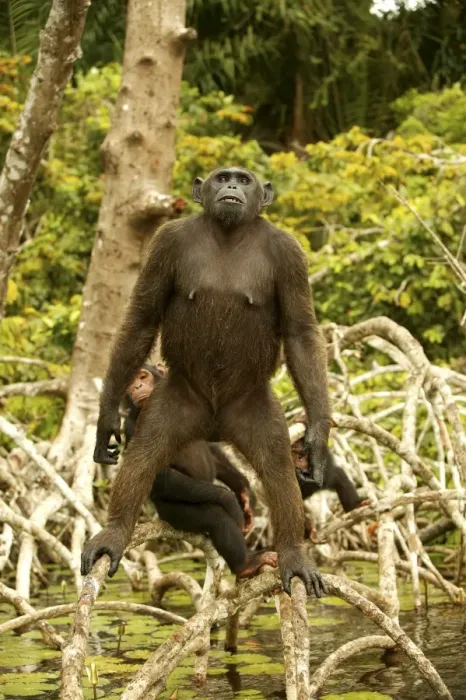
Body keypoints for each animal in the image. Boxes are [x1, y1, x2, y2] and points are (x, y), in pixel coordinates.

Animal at [81, 166, 331, 598]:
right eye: (222, 177)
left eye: (244, 180)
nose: (230, 187)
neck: (229, 234)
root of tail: (214, 423)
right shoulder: (166, 243)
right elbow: (142, 319)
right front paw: (106, 417)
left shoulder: (290, 255)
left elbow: (300, 332)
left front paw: (316, 436)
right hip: (178, 401)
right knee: (144, 455)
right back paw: (113, 534)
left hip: (251, 407)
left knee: (277, 467)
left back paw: (290, 555)